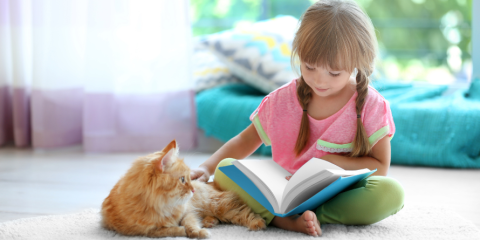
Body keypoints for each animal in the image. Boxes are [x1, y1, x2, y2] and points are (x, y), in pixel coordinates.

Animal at [101, 140, 266, 237]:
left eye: (189, 178)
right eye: (182, 180)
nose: (193, 189)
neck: (160, 207)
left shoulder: (188, 211)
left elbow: (189, 224)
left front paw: (198, 232)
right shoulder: (144, 230)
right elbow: (165, 230)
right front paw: (181, 230)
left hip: (221, 205)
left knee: (244, 213)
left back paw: (257, 224)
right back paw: (209, 222)